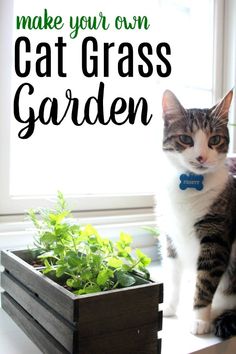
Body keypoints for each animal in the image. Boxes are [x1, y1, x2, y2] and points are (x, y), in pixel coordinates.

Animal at [160, 88, 236, 338]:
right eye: (185, 139)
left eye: (215, 140)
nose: (201, 157)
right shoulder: (170, 234)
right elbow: (172, 273)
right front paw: (169, 306)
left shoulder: (216, 235)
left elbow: (205, 280)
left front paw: (200, 320)